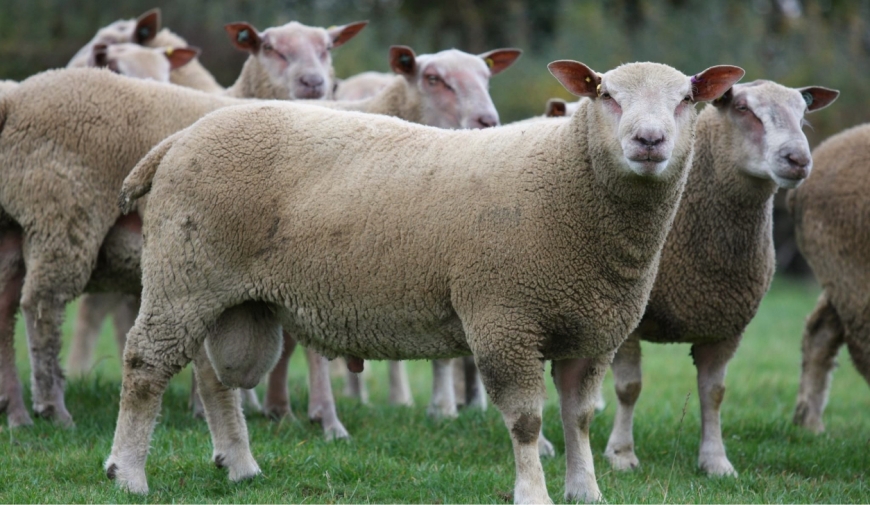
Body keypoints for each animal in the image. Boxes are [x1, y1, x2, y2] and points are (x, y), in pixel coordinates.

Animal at [108, 60, 743, 502]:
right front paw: (533, 493)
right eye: (606, 95)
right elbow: (528, 421)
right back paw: (128, 473)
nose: (648, 141)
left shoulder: (594, 334)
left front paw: (585, 489)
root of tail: (181, 139)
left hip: (223, 293)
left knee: (213, 377)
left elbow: (580, 417)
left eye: (687, 100)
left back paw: (239, 466)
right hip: (184, 274)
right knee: (145, 364)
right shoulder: (504, 319)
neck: (572, 183)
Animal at [602, 80, 839, 476]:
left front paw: (715, 460)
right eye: (743, 108)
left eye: (803, 112)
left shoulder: (725, 325)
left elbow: (713, 394)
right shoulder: (629, 321)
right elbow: (629, 388)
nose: (798, 159)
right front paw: (621, 454)